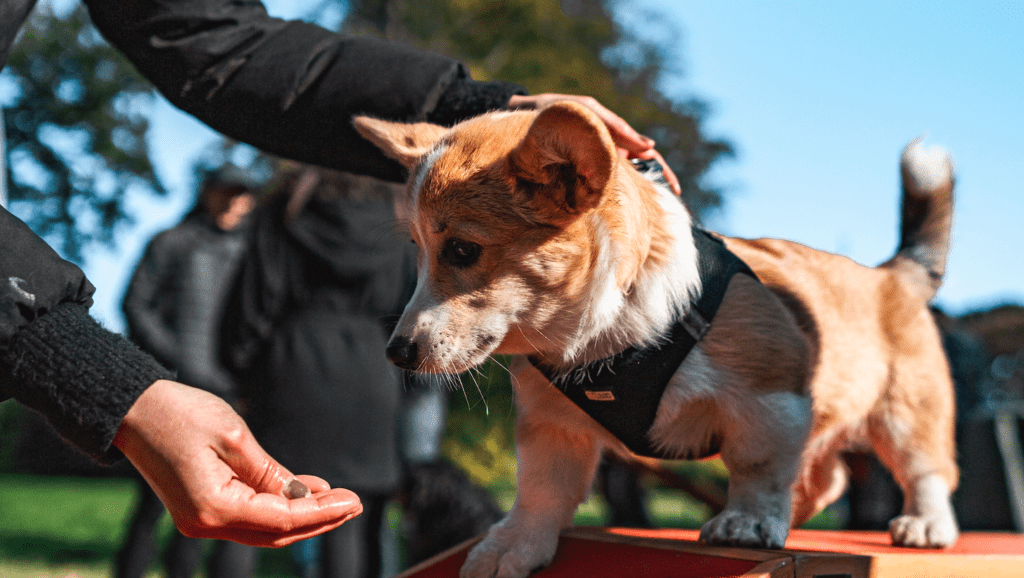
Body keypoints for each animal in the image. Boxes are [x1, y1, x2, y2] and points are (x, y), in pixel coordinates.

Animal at [354, 101, 958, 573]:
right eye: (417, 250)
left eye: (462, 250)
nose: (396, 353)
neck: (601, 332)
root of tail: (890, 273)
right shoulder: (550, 425)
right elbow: (541, 491)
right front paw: (513, 546)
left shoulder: (770, 395)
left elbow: (758, 467)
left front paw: (747, 521)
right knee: (826, 476)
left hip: (907, 412)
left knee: (925, 468)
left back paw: (924, 524)